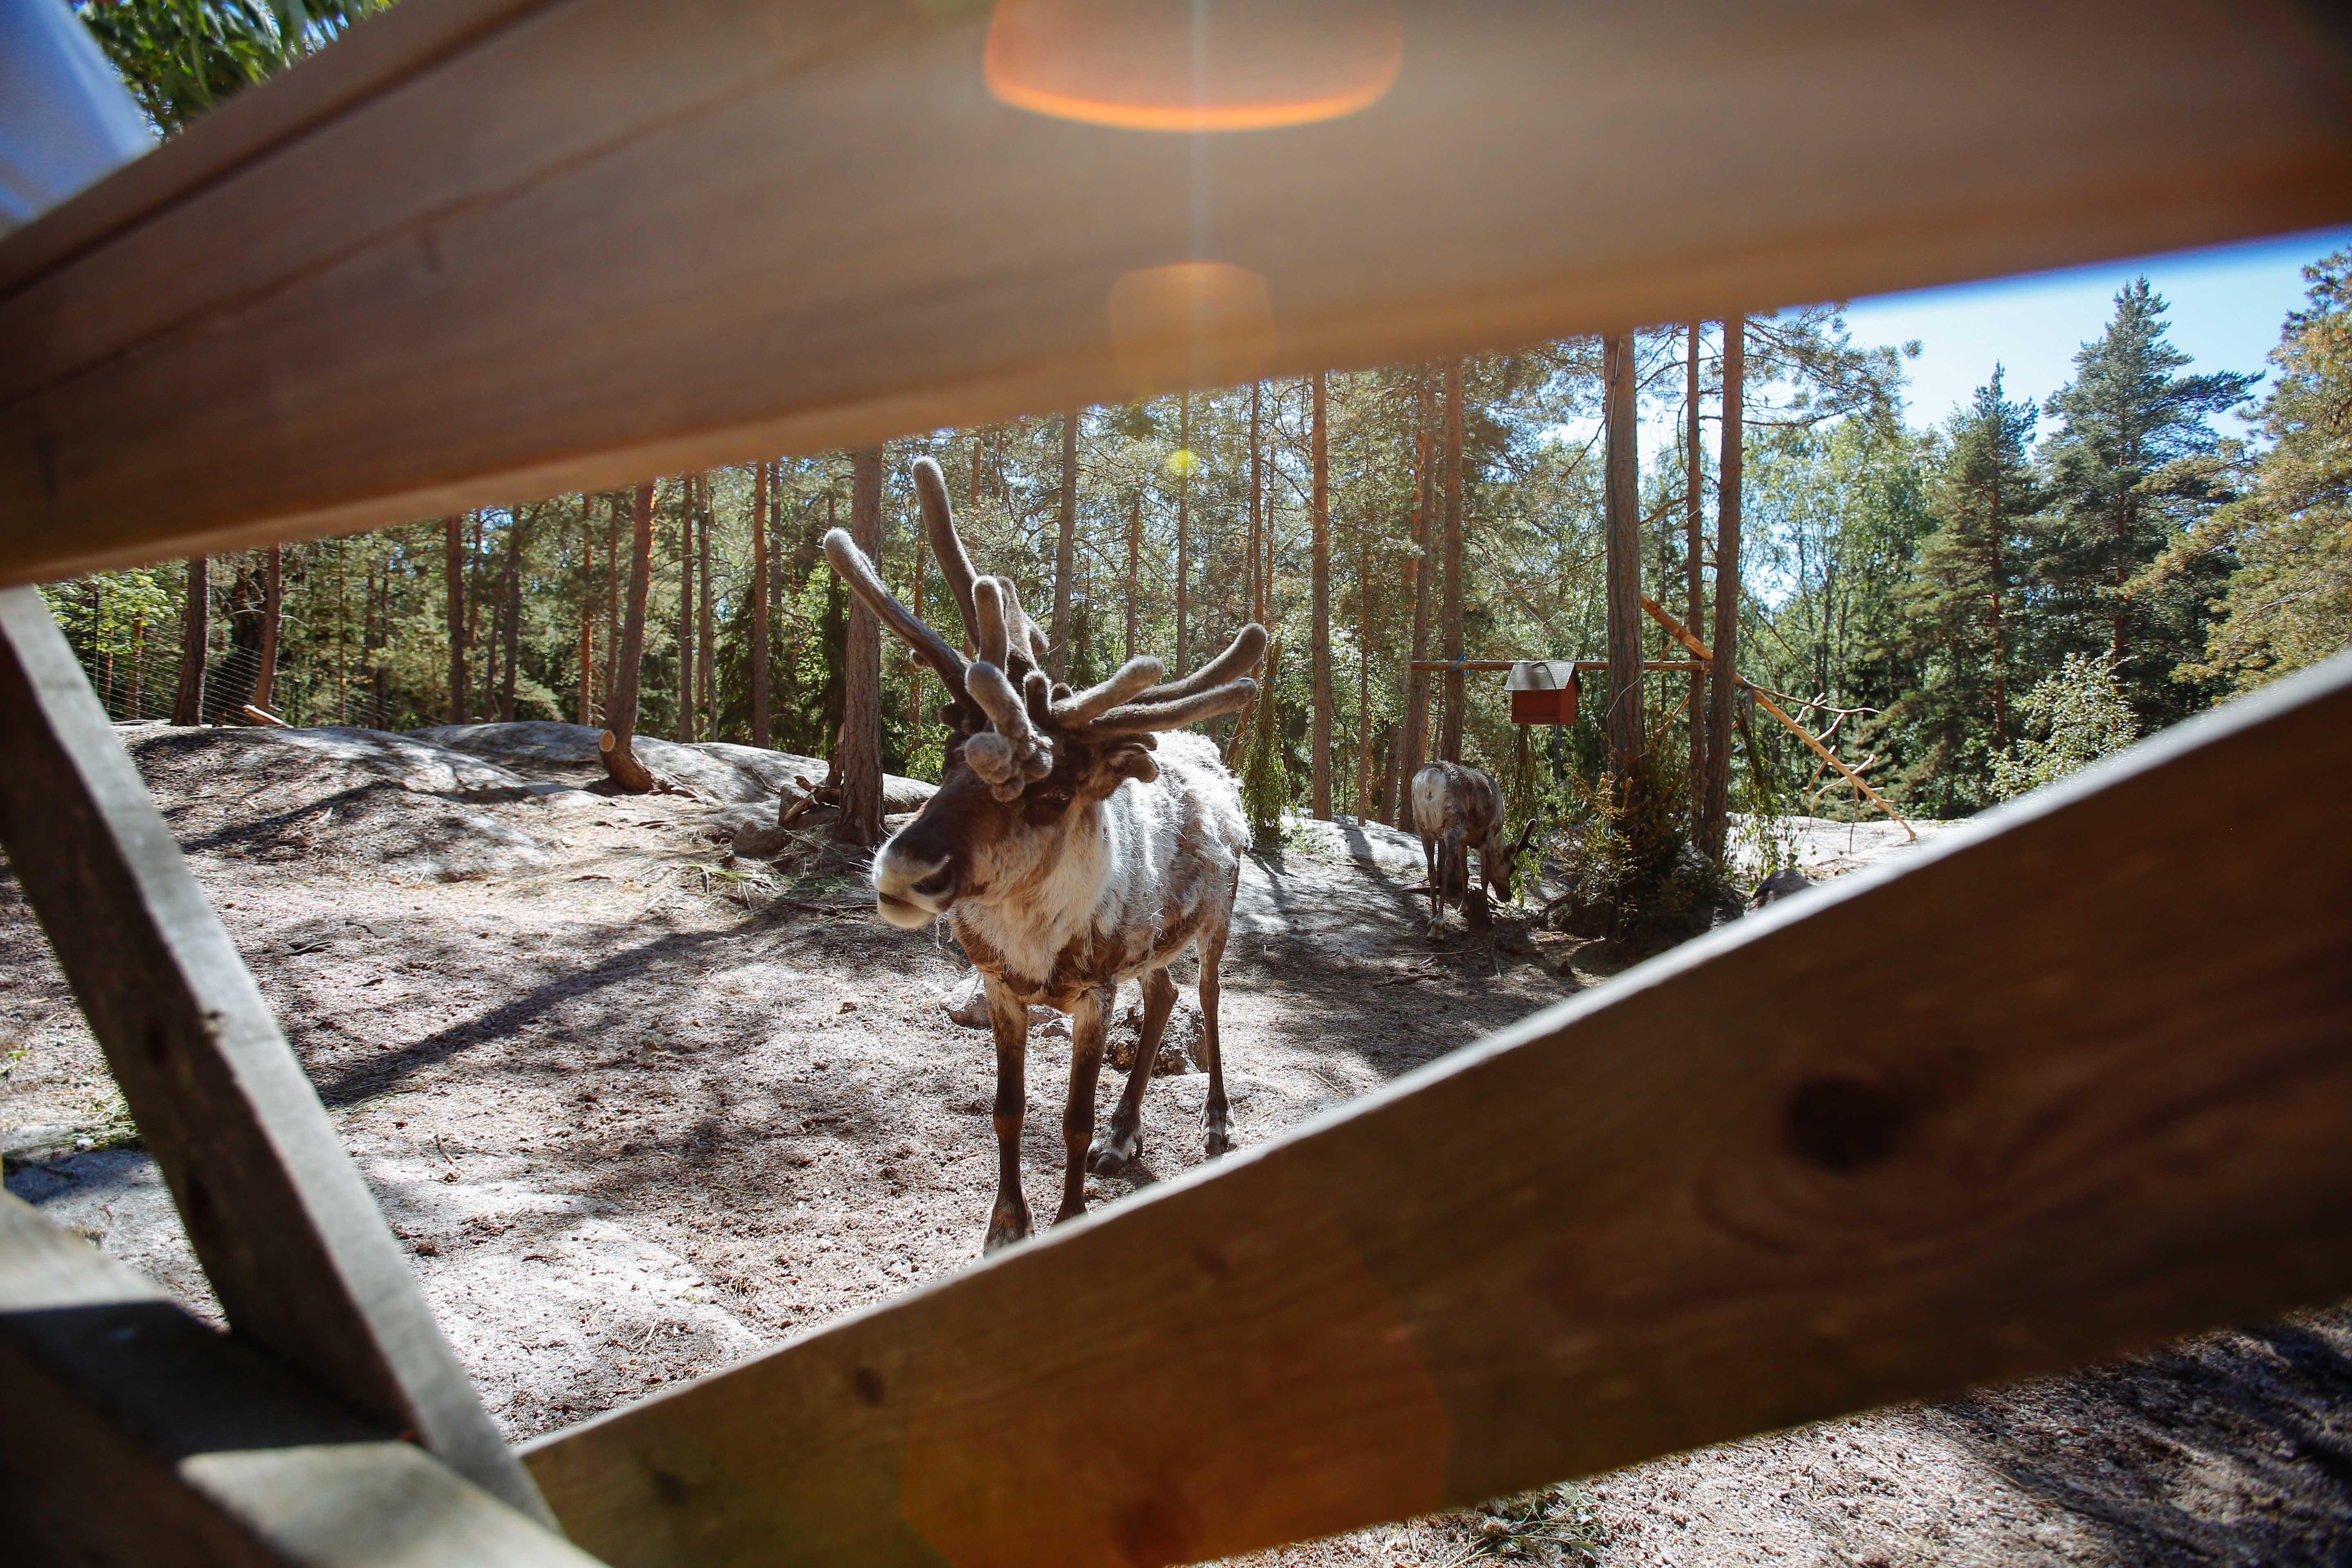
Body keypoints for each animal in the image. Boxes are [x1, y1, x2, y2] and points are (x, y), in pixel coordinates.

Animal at [823, 457, 1264, 1253]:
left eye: (1055, 796)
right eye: (954, 753)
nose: (905, 869)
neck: (1032, 938)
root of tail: (1210, 754)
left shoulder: (1093, 994)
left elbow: (1070, 1120)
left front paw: (1066, 1217)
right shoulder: (1002, 987)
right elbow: (1009, 1109)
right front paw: (1005, 1226)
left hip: (1218, 916)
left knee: (1211, 996)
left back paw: (1215, 1122)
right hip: (1150, 943)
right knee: (1165, 994)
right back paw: (1125, 1136)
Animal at [1410, 761, 1538, 938]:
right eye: (1513, 868)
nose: (1508, 896)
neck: (1499, 835)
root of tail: (1430, 780)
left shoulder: (1464, 842)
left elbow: (1466, 874)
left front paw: (1464, 908)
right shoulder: (1488, 834)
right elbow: (1484, 877)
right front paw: (1488, 916)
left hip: (1424, 827)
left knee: (1431, 869)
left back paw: (1432, 917)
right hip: (1453, 823)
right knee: (1447, 866)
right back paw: (1438, 925)